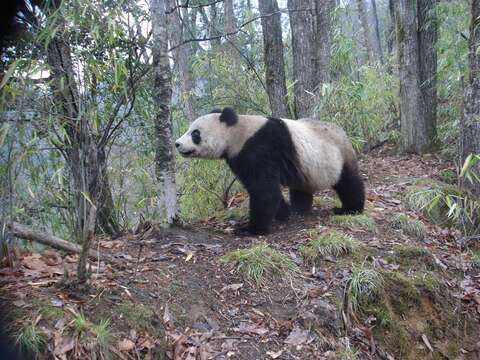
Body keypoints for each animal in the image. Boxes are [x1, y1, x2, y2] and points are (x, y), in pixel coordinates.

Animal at [174, 108, 366, 235]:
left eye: (195, 133)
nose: (177, 144)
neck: (237, 132)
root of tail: (343, 133)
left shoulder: (259, 147)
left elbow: (264, 190)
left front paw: (251, 229)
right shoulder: (240, 157)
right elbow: (263, 189)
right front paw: (283, 213)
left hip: (337, 156)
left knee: (349, 183)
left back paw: (350, 209)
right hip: (306, 166)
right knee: (301, 187)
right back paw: (299, 209)